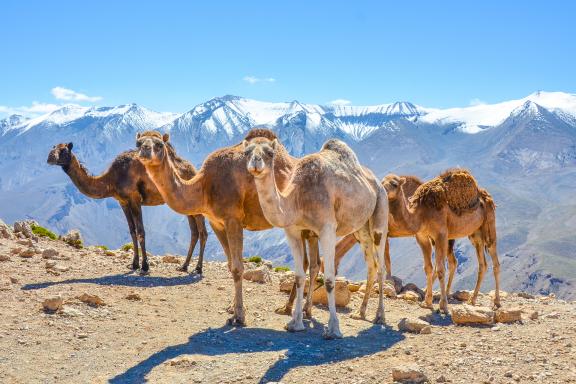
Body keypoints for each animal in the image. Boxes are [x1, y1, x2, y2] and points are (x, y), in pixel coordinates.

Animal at [47, 141, 208, 272]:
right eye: (53, 147)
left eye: (64, 150)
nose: (49, 158)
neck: (112, 179)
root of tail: (193, 170)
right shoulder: (123, 202)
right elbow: (132, 231)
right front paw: (134, 264)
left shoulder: (134, 198)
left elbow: (141, 232)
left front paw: (145, 266)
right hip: (186, 205)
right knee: (194, 232)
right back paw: (184, 266)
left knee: (202, 232)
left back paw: (198, 268)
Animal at [137, 130, 322, 328]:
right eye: (138, 143)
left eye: (159, 144)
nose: (145, 150)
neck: (204, 186)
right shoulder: (216, 222)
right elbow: (230, 263)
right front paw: (232, 308)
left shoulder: (233, 219)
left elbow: (238, 267)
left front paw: (239, 316)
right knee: (308, 263)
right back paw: (289, 308)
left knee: (313, 263)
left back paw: (303, 310)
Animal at [243, 136, 388, 340]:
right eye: (246, 152)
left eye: (270, 153)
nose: (256, 162)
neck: (298, 198)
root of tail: (378, 183)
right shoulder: (294, 232)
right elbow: (299, 276)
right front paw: (295, 323)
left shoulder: (327, 229)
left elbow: (328, 280)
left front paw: (333, 329)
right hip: (361, 229)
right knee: (371, 265)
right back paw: (360, 313)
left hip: (380, 216)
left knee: (381, 266)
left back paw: (380, 316)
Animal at [378, 170, 500, 314]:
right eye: (381, 181)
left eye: (394, 184)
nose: (382, 190)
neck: (421, 213)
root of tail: (486, 196)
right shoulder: (422, 237)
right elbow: (428, 268)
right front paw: (427, 302)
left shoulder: (441, 235)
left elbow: (441, 269)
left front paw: (443, 306)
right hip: (476, 233)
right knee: (482, 264)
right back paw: (472, 300)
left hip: (489, 224)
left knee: (495, 261)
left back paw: (496, 302)